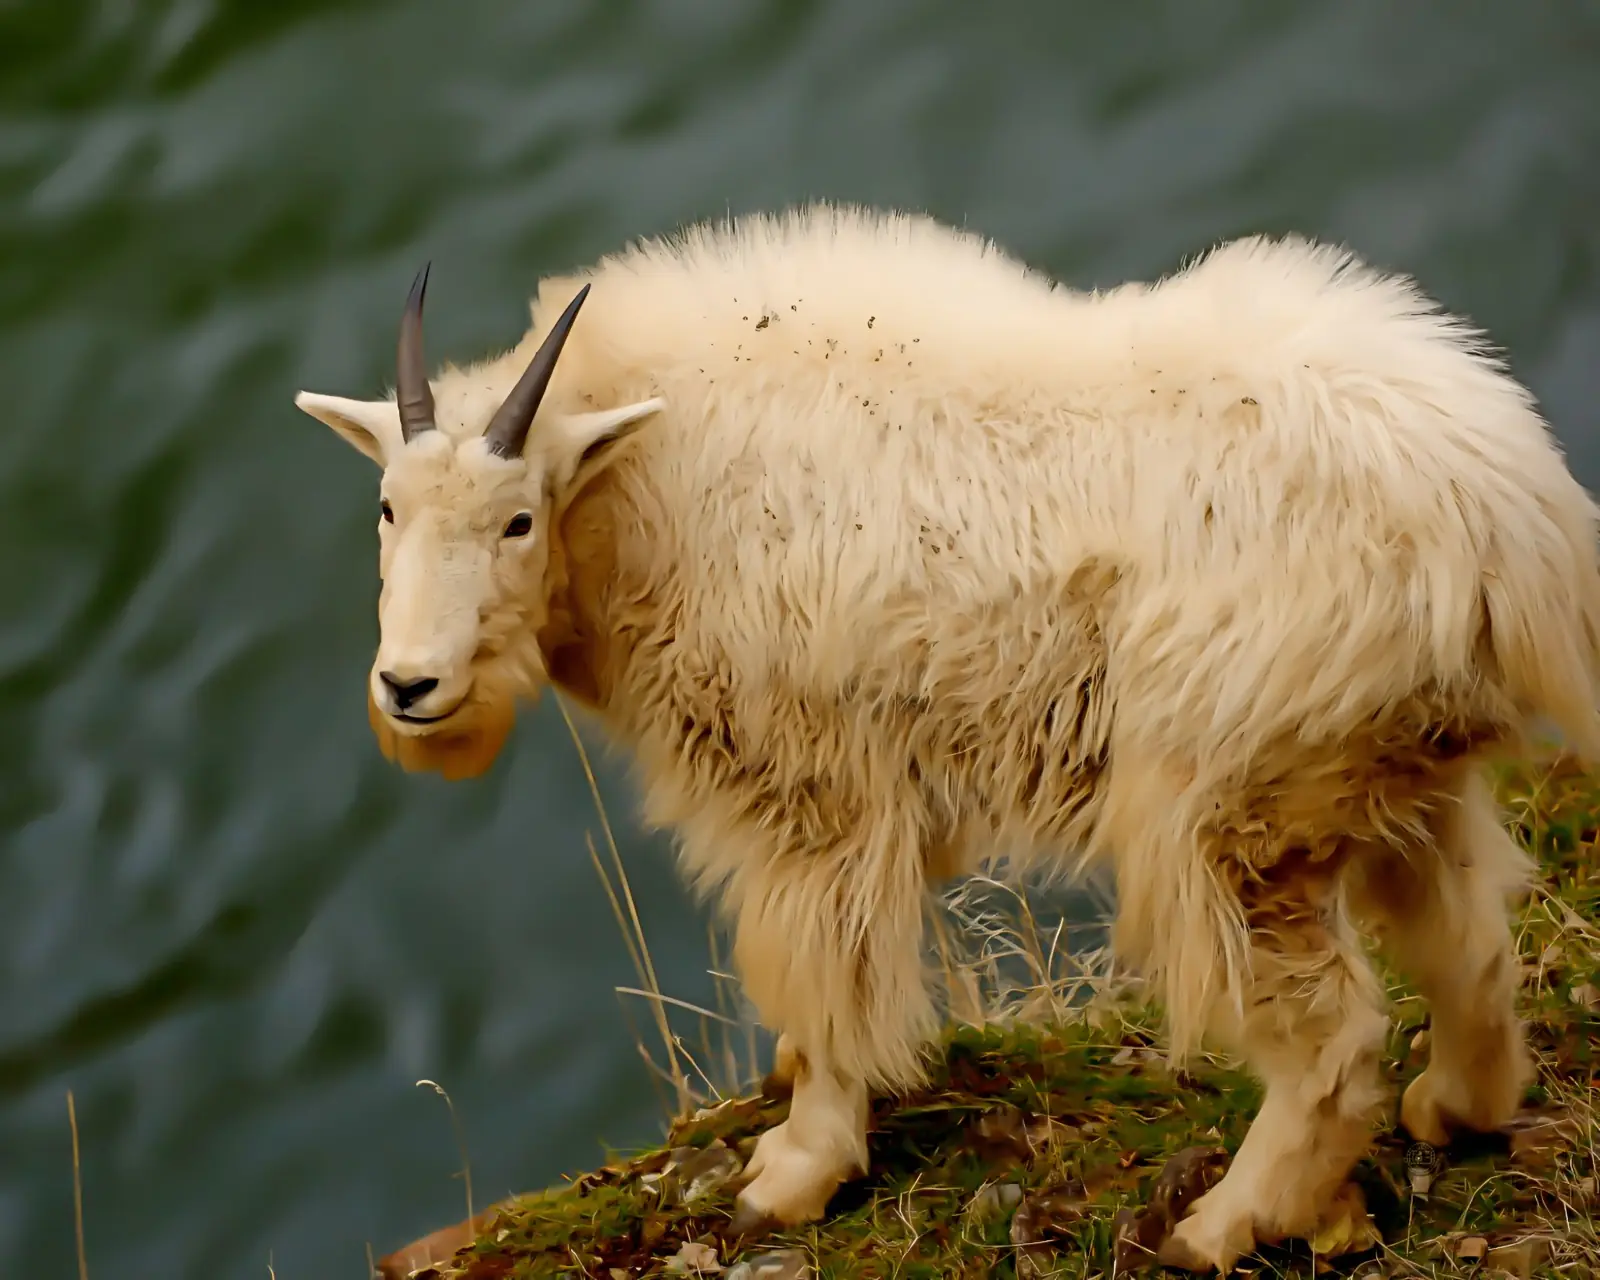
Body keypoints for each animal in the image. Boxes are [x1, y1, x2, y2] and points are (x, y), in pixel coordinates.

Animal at [295, 205, 1600, 1271]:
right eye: (387, 507)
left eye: (518, 520)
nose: (410, 685)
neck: (649, 480)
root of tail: (1514, 521)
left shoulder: (808, 793)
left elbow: (825, 975)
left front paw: (794, 1168)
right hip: (1386, 763)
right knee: (1464, 934)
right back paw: (1454, 1108)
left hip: (1228, 803)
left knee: (1329, 1032)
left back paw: (1220, 1223)